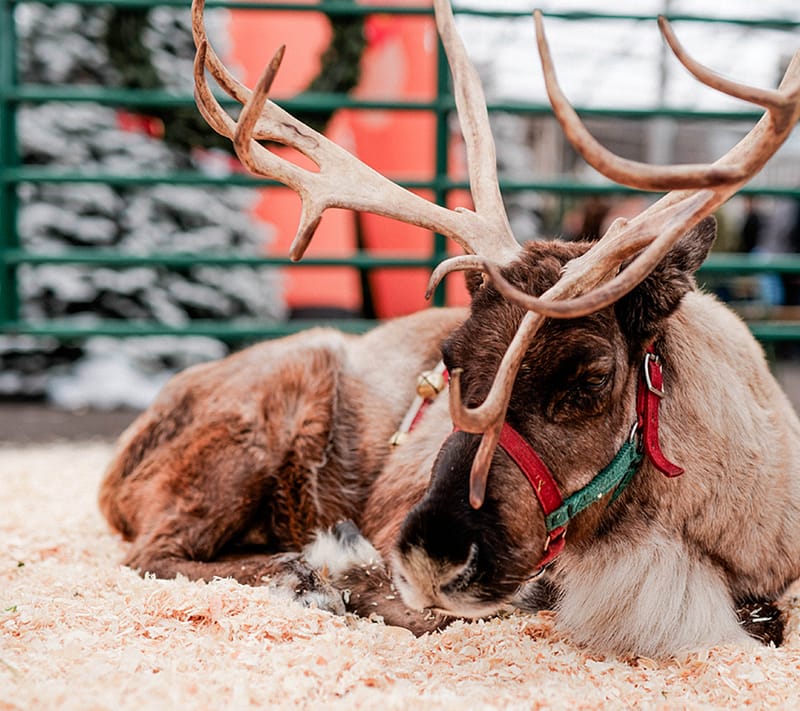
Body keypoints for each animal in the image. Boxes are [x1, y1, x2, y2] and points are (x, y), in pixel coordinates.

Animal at [99, 0, 800, 659]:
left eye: (592, 378)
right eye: (449, 357)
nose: (431, 555)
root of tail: (114, 472)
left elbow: (769, 617)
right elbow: (460, 609)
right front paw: (337, 571)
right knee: (154, 553)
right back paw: (304, 574)